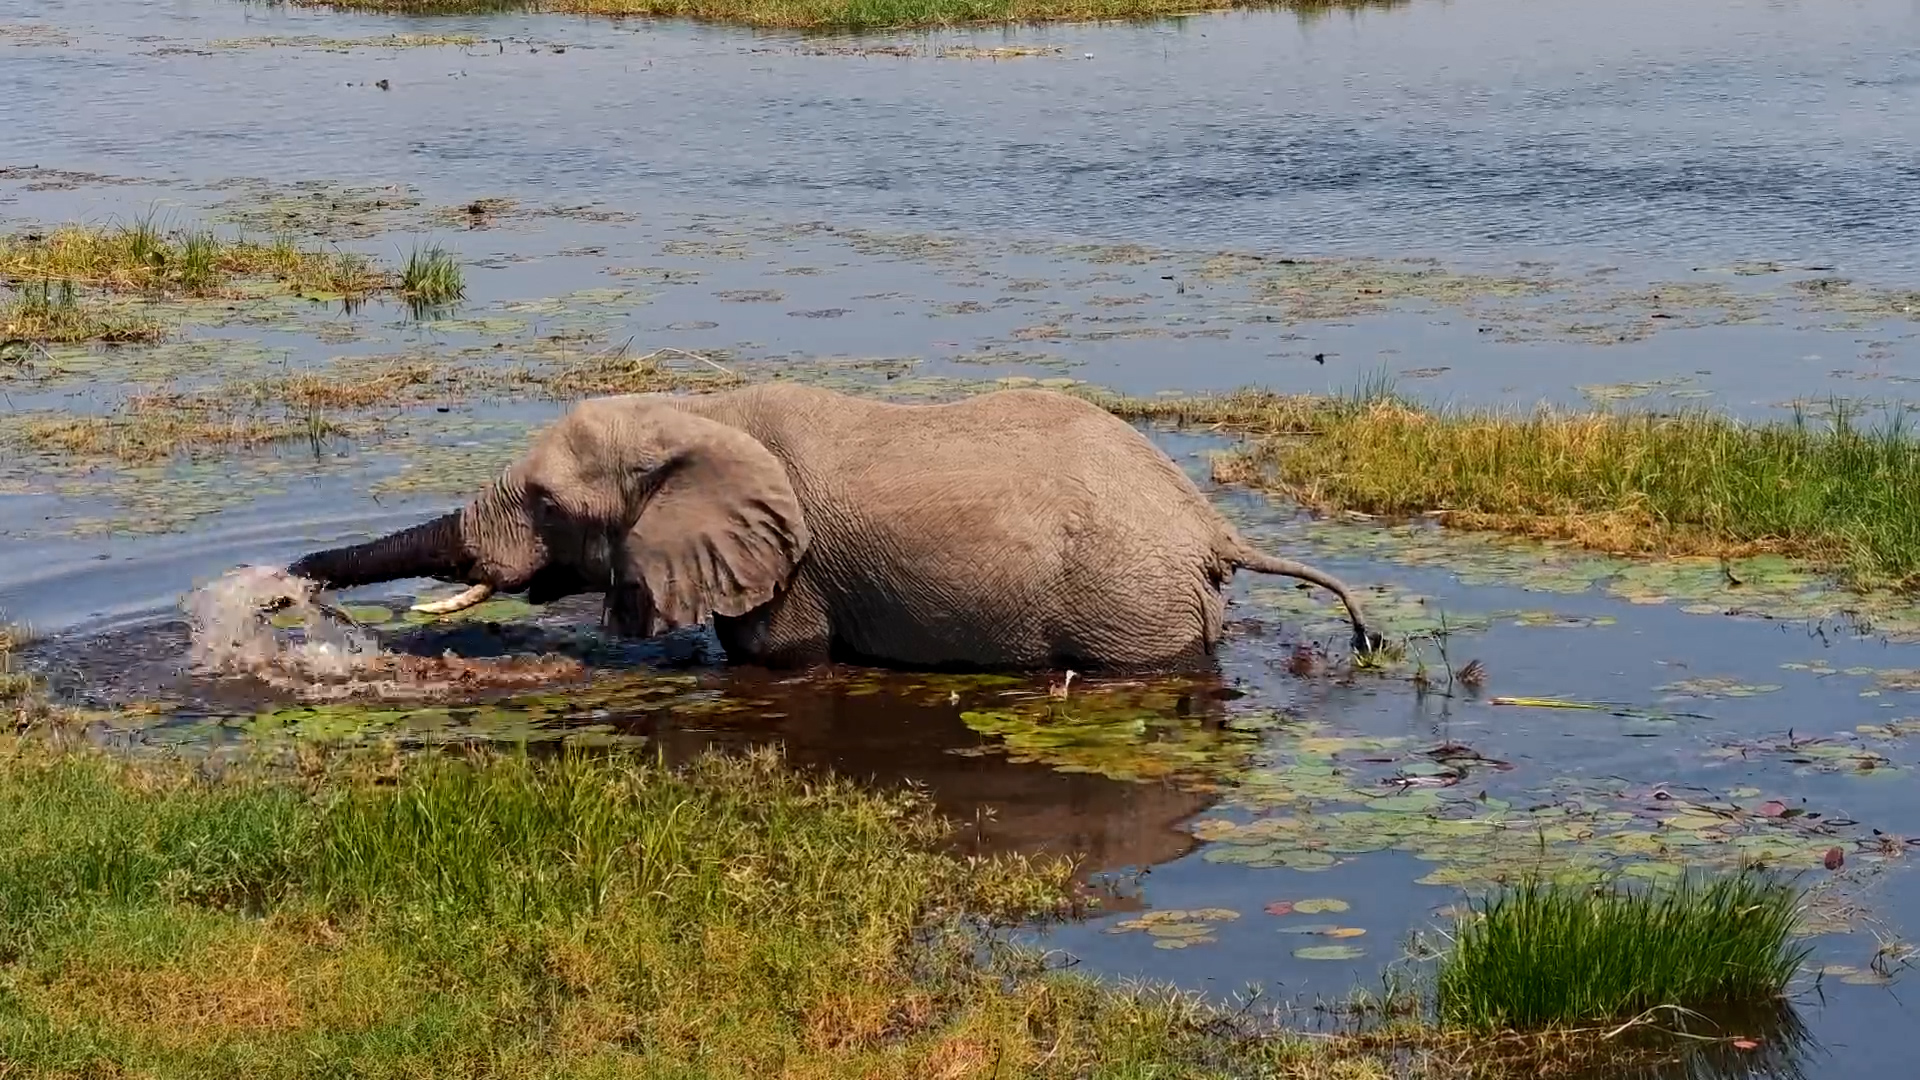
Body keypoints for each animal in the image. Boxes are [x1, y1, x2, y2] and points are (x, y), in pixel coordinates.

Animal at [285, 382, 1380, 671]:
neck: (703, 410)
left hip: (1129, 608)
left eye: (550, 505)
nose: (286, 581)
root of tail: (1212, 528)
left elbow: (777, 659)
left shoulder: (792, 568)